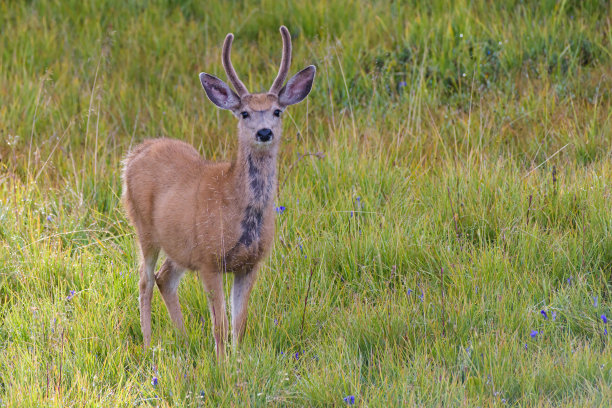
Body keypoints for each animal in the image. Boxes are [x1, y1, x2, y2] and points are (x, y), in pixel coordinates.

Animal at [122, 26, 318, 356]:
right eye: (244, 113)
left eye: (277, 111)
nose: (264, 132)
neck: (236, 207)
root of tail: (134, 154)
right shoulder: (208, 259)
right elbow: (220, 325)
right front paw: (222, 363)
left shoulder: (250, 264)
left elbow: (240, 324)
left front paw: (238, 360)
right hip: (144, 228)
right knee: (145, 281)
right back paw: (149, 345)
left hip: (178, 245)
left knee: (165, 279)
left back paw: (184, 340)